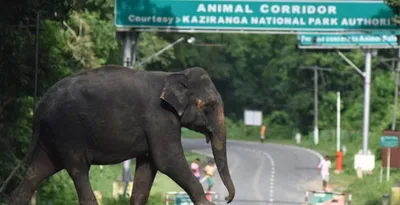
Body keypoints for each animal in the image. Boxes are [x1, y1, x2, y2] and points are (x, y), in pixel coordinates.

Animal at [0, 65, 234, 205]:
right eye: (209, 107)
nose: (227, 198)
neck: (174, 74)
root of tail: (41, 106)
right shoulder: (159, 118)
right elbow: (168, 160)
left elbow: (149, 165)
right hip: (68, 130)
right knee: (77, 168)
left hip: (53, 134)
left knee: (40, 169)